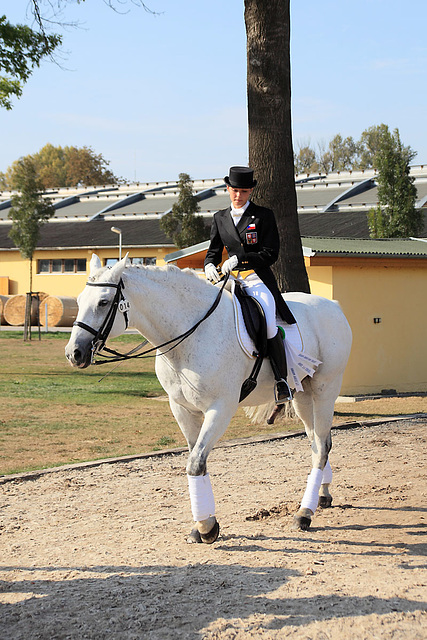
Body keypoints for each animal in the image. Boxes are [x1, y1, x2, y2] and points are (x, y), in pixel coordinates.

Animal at [65, 252, 352, 544]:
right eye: (79, 300)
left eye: (103, 302)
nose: (74, 353)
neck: (188, 336)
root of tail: (333, 306)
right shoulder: (182, 408)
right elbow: (197, 461)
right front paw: (202, 524)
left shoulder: (220, 408)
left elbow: (195, 463)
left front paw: (207, 527)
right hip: (302, 393)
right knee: (319, 443)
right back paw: (322, 495)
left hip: (325, 389)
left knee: (321, 447)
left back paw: (305, 513)